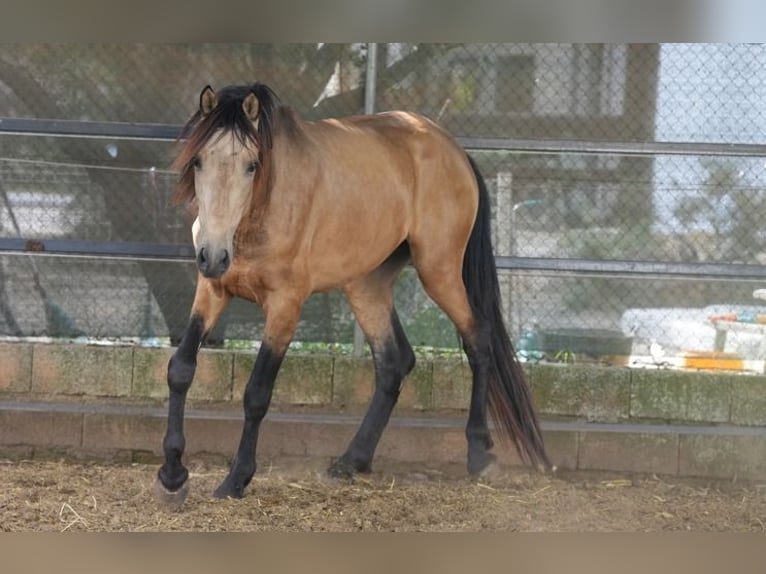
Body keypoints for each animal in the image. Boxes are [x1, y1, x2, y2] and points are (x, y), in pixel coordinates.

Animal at [154, 82, 550, 505]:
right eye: (198, 161)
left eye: (252, 164)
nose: (213, 255)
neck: (264, 211)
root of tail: (454, 150)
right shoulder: (212, 289)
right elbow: (181, 369)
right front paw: (173, 475)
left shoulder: (285, 305)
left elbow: (257, 393)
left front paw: (236, 480)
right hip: (366, 285)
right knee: (394, 361)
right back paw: (351, 461)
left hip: (439, 271)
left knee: (479, 339)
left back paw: (479, 454)